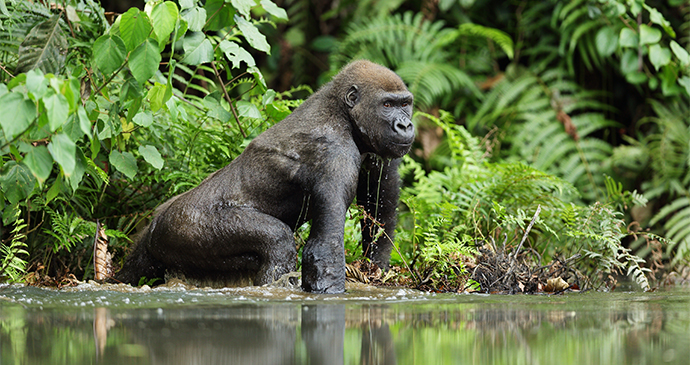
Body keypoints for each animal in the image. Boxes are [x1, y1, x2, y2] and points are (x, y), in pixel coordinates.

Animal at [114, 59, 414, 292]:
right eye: (387, 105)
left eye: (405, 104)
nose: (406, 125)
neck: (342, 111)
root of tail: (154, 224)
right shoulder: (335, 154)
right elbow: (323, 251)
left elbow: (379, 208)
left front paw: (376, 268)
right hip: (182, 227)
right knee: (277, 242)